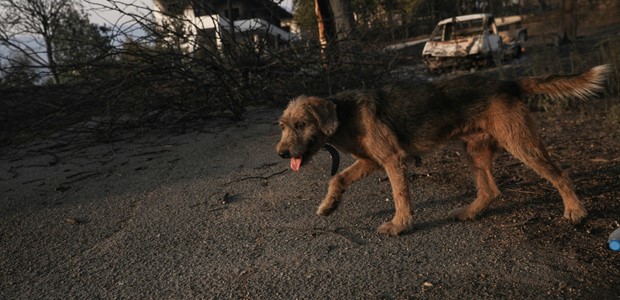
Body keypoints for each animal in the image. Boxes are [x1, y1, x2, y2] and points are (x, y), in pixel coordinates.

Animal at [278, 65, 612, 237]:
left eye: (301, 124)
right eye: (283, 125)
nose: (281, 153)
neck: (343, 112)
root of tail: (507, 82)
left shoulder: (392, 160)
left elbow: (400, 196)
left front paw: (400, 225)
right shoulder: (372, 161)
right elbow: (337, 179)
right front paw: (329, 206)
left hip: (521, 144)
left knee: (559, 174)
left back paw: (575, 211)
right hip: (475, 151)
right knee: (490, 190)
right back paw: (470, 212)